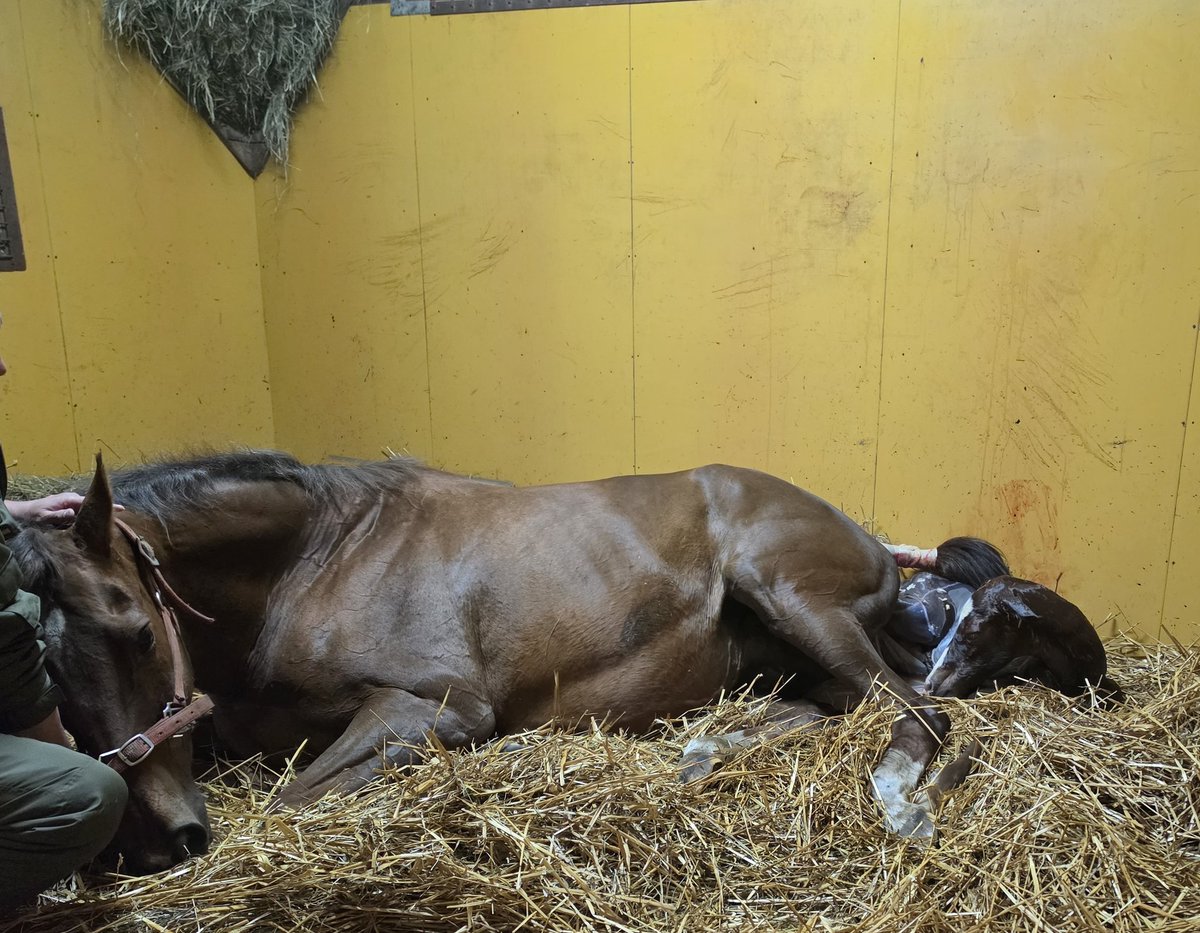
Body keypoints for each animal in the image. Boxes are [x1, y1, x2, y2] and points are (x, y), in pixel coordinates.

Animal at [13, 450, 1036, 873]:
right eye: (48, 670)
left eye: (138, 632)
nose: (164, 841)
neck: (318, 558)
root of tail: (873, 544)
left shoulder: (434, 706)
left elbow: (294, 798)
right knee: (825, 708)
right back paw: (700, 753)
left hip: (790, 594)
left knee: (918, 713)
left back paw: (905, 807)